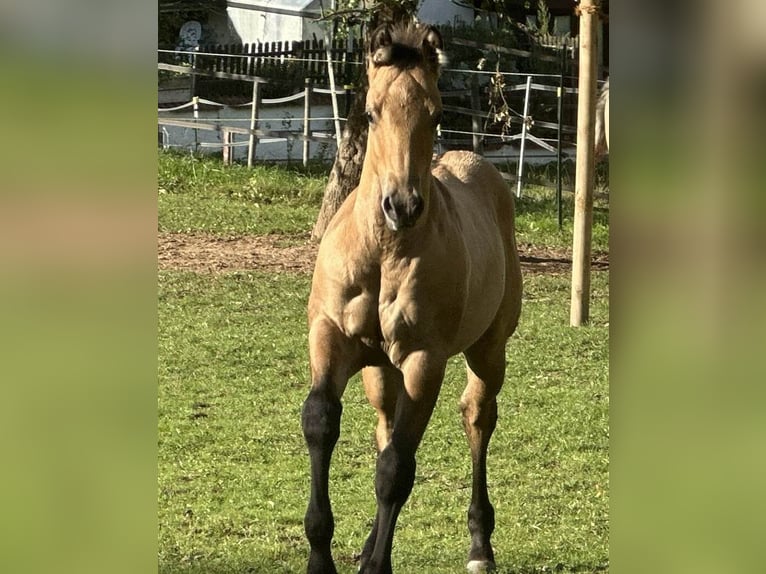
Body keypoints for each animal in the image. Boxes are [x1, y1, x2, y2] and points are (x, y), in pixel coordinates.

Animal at [301, 21, 522, 574]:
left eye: (437, 113)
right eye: (371, 112)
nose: (401, 205)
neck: (383, 251)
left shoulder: (425, 359)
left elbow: (397, 468)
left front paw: (376, 565)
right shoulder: (329, 337)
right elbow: (321, 422)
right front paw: (323, 555)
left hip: (488, 351)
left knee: (477, 417)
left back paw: (479, 546)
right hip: (381, 368)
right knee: (385, 424)